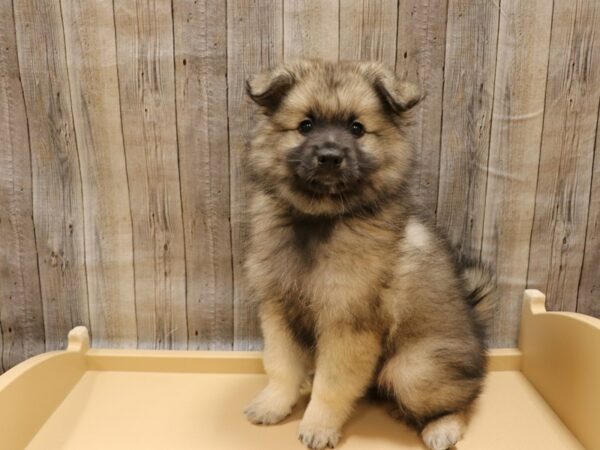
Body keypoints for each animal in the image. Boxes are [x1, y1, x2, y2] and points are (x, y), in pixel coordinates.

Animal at [241, 59, 494, 450]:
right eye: (305, 125)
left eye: (357, 128)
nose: (329, 157)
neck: (320, 219)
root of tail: (477, 330)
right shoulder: (278, 309)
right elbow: (281, 366)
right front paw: (274, 405)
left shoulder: (348, 322)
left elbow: (331, 384)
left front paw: (318, 426)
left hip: (414, 370)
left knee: (465, 397)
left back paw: (442, 427)